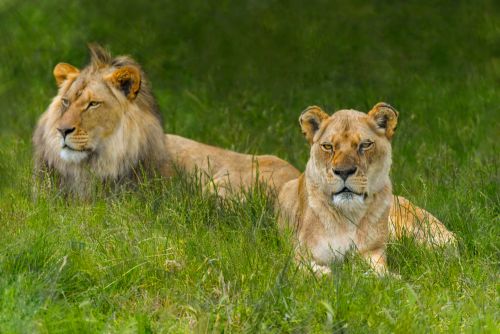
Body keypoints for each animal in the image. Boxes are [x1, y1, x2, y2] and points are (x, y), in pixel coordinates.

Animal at [278, 103, 458, 276]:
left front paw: (388, 277)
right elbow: (311, 272)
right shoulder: (299, 254)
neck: (348, 216)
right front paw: (329, 274)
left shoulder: (373, 251)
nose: (344, 171)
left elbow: (379, 270)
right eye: (328, 146)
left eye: (365, 145)